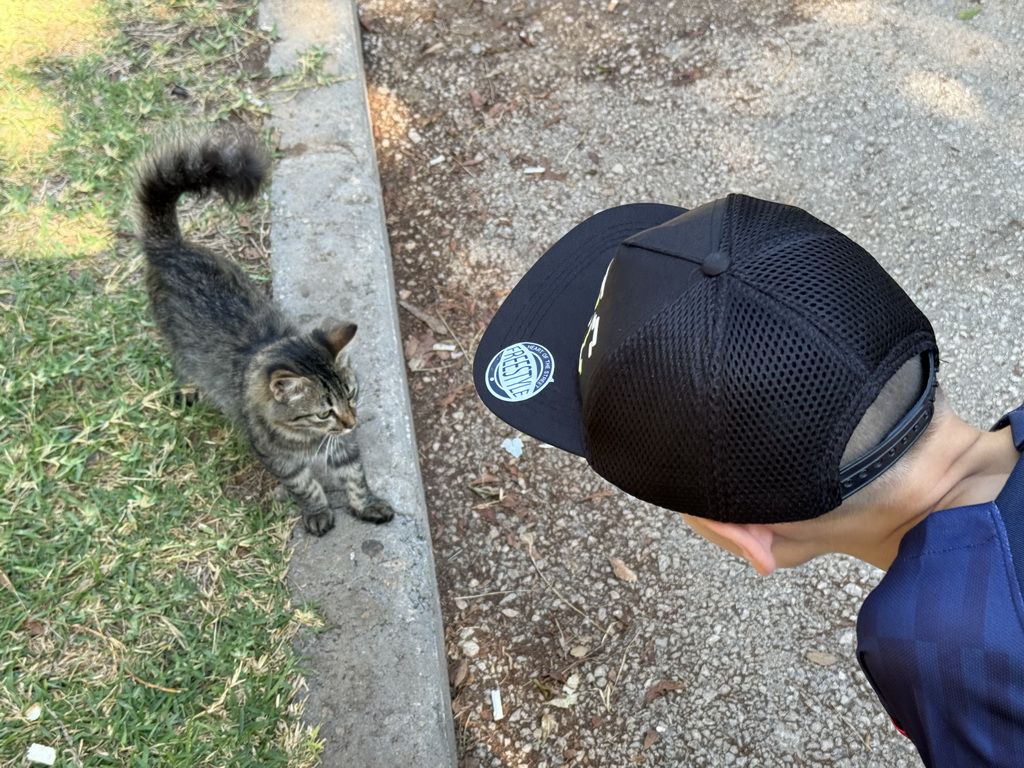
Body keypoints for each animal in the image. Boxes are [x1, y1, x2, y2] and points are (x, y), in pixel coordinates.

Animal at [134, 129, 393, 536]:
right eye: (323, 413)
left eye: (351, 393)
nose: (352, 421)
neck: (306, 438)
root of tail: (171, 246)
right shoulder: (279, 459)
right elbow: (306, 486)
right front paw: (318, 512)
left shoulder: (343, 449)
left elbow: (355, 478)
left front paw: (366, 505)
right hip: (177, 342)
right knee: (180, 364)